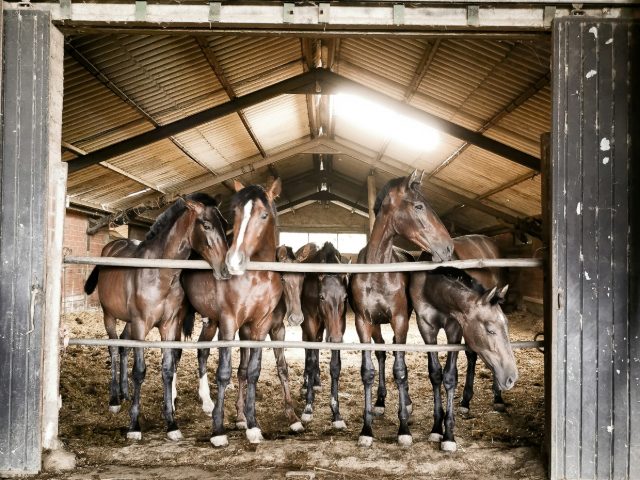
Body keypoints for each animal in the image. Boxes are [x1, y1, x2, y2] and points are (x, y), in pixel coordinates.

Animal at [83, 193, 229, 441]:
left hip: (130, 323)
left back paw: (124, 392)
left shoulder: (169, 325)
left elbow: (168, 369)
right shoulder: (142, 325)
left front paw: (171, 423)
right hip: (109, 316)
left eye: (225, 225)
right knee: (113, 348)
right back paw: (114, 399)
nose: (226, 269)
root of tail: (112, 245)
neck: (160, 273)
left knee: (123, 345)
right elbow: (140, 371)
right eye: (207, 225)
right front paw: (134, 426)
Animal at [182, 240, 315, 434]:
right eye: (283, 278)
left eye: (303, 277)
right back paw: (203, 401)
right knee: (201, 352)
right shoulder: (245, 330)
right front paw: (241, 417)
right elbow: (243, 370)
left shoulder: (277, 329)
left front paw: (292, 417)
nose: (296, 318)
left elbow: (282, 368)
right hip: (208, 320)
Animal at [299, 242, 349, 430]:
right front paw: (308, 407)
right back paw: (307, 382)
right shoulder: (310, 322)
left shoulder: (339, 326)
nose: (335, 338)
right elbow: (311, 361)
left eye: (345, 297)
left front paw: (336, 413)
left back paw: (317, 381)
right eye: (322, 297)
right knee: (308, 350)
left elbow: (335, 366)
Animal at [349, 170, 454, 447]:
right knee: (382, 354)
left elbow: (401, 371)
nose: (448, 248)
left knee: (399, 359)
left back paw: (405, 404)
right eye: (418, 206)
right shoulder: (363, 322)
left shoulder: (400, 320)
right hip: (376, 325)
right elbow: (367, 371)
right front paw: (366, 429)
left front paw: (404, 429)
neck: (377, 272)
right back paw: (381, 401)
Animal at [409, 264, 517, 452]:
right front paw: (436, 428)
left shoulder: (455, 328)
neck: (431, 288)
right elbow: (435, 374)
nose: (512, 377)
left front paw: (448, 436)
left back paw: (497, 398)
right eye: (490, 330)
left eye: (507, 325)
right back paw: (466, 402)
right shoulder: (426, 328)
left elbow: (450, 376)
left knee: (473, 357)